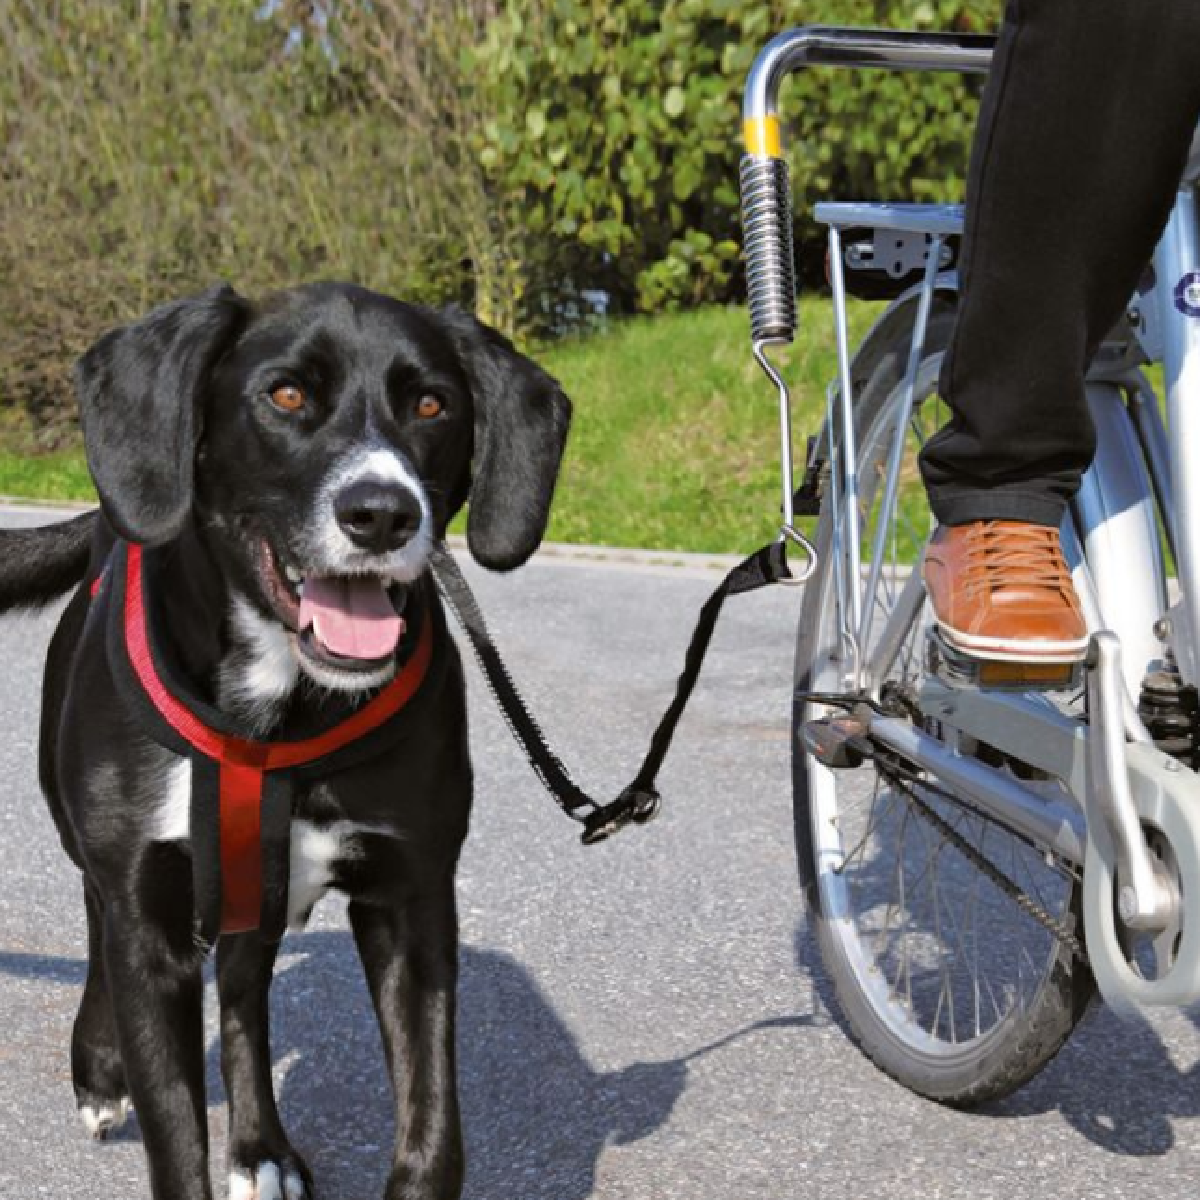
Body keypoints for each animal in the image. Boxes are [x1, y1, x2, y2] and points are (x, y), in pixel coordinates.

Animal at [0, 283, 571, 1200]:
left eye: (432, 405)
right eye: (287, 395)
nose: (382, 514)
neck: (279, 711)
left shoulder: (412, 898)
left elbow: (433, 1130)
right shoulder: (147, 920)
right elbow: (175, 1141)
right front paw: (127, 1083)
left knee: (240, 991)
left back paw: (260, 1147)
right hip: (83, 833)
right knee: (95, 916)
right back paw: (100, 1065)